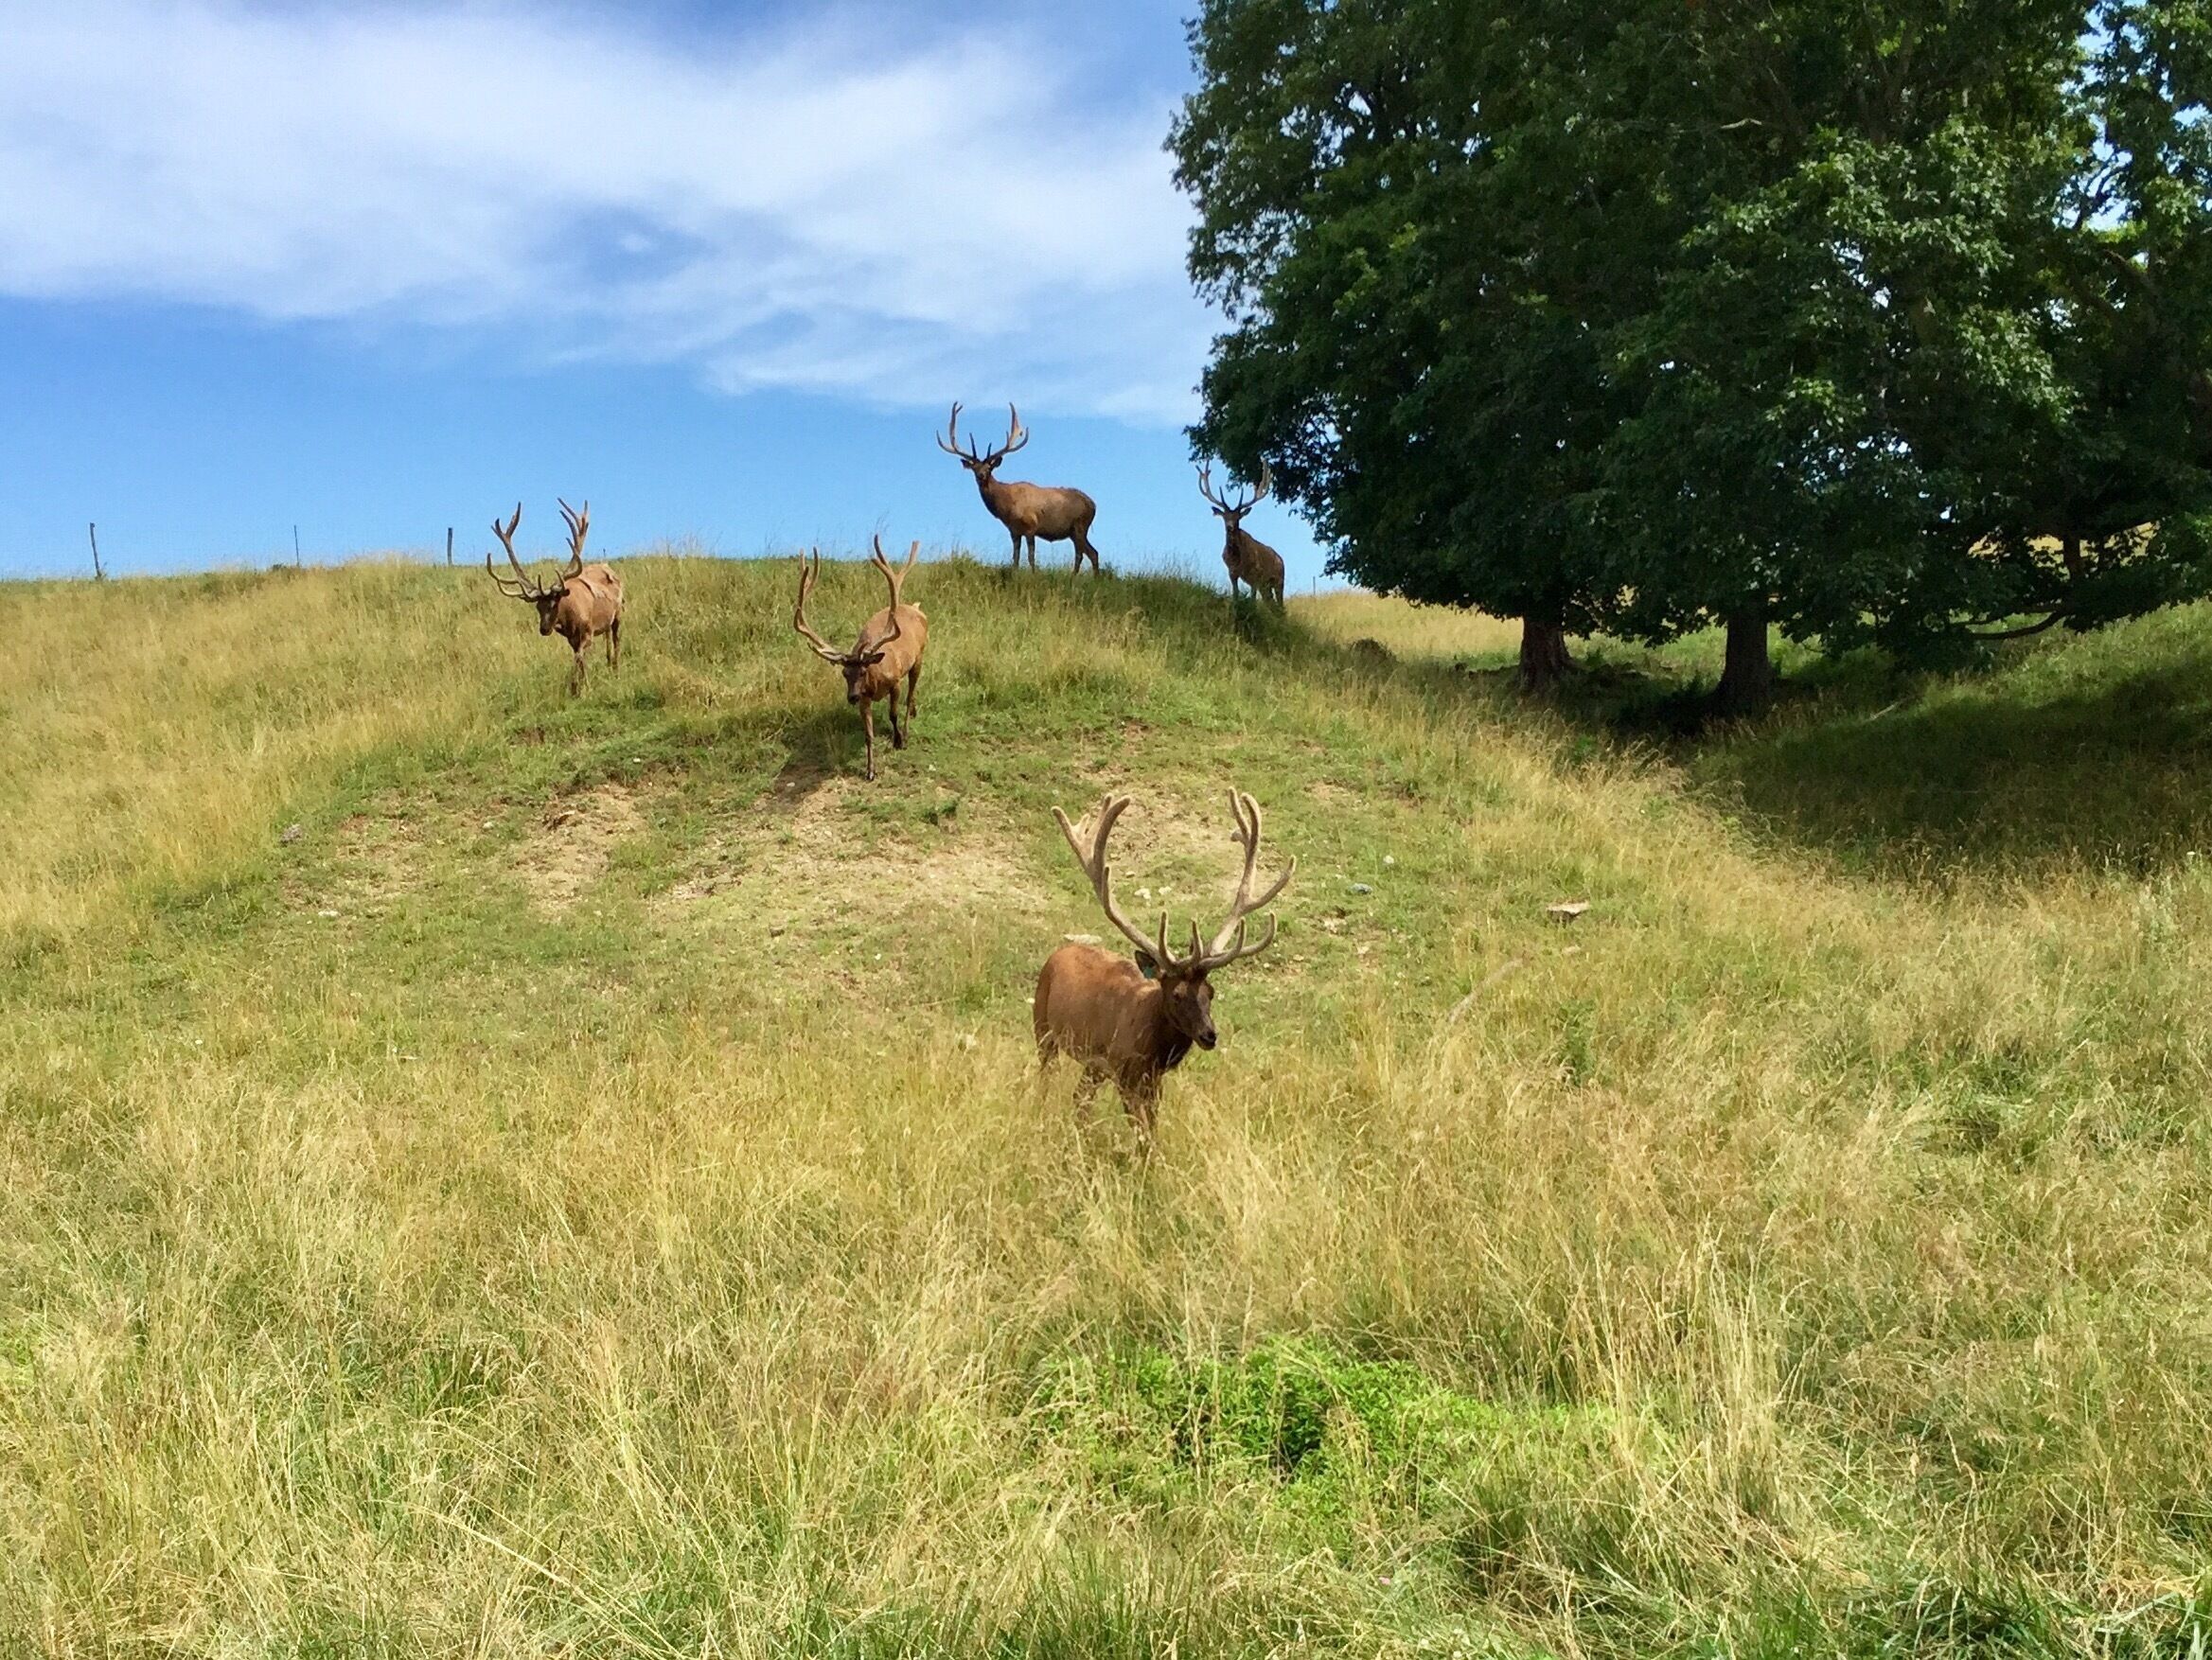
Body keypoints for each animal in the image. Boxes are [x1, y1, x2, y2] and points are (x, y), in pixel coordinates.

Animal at [485, 500, 624, 695]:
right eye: (538, 607)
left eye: (554, 603)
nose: (543, 629)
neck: (570, 620)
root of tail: (609, 567)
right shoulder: (572, 639)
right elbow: (580, 659)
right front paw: (580, 687)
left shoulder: (587, 631)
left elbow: (579, 657)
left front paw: (579, 688)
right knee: (608, 641)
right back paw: (609, 666)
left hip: (618, 613)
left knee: (616, 640)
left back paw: (616, 671)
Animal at [792, 536, 928, 782]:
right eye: (844, 673)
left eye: (863, 671)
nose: (851, 697)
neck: (875, 680)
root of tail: (916, 608)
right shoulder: (865, 699)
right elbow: (868, 734)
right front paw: (870, 770)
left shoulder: (895, 681)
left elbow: (893, 713)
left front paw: (899, 740)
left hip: (919, 657)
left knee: (911, 693)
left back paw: (907, 727)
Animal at [937, 402, 1102, 573]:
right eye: (974, 468)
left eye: (990, 468)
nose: (981, 476)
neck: (1007, 507)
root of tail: (1093, 505)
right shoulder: (1013, 531)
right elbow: (1015, 557)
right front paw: (1015, 573)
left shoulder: (1031, 526)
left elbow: (1031, 557)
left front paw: (1034, 574)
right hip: (1074, 531)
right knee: (1091, 553)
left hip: (1080, 525)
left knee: (1085, 553)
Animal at [1035, 790, 1294, 1146]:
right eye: (1177, 994)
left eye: (1211, 992)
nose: (1209, 1035)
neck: (1152, 1046)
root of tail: (1058, 953)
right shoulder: (1124, 1071)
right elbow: (1143, 1135)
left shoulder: (1152, 1079)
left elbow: (1151, 1131)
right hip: (1043, 1029)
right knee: (1047, 1081)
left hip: (1092, 1064)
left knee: (1080, 1100)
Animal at [1198, 461, 1286, 608]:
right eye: (1225, 517)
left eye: (1238, 517)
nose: (1230, 527)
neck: (1237, 559)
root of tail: (1281, 560)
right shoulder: (1232, 572)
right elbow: (1235, 594)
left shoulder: (1256, 574)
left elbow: (1252, 599)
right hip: (1265, 586)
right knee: (1271, 604)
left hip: (1279, 580)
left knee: (1280, 604)